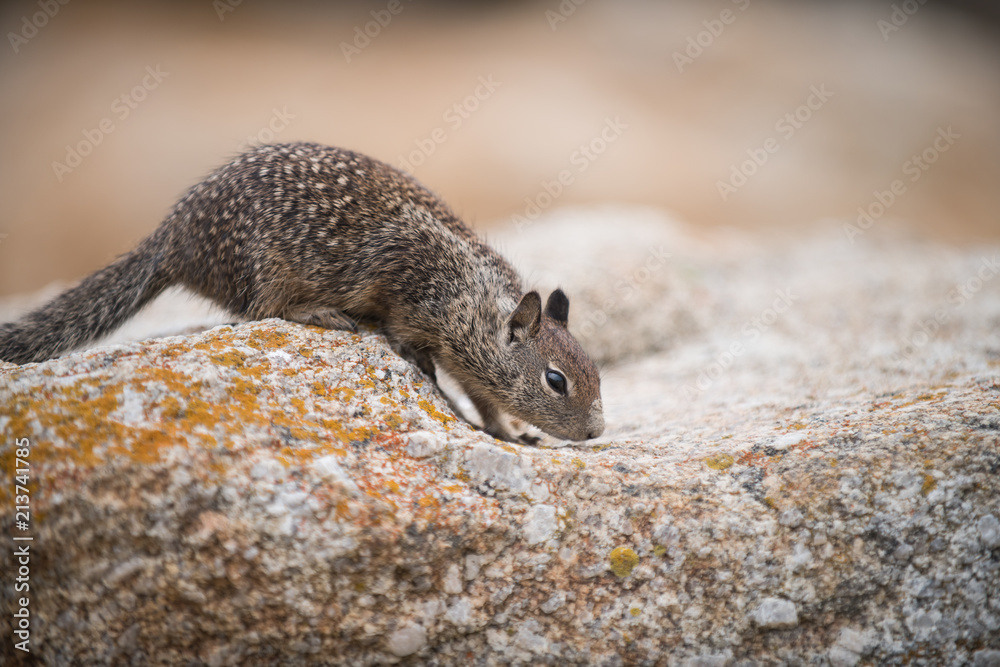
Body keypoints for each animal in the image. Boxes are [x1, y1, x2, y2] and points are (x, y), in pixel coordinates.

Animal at [0, 142, 604, 443]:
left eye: (596, 374)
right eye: (556, 381)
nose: (598, 432)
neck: (476, 299)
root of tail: (171, 237)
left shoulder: (473, 363)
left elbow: (484, 399)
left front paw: (508, 431)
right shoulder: (406, 280)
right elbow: (407, 334)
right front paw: (417, 360)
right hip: (264, 267)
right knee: (259, 311)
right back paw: (321, 312)